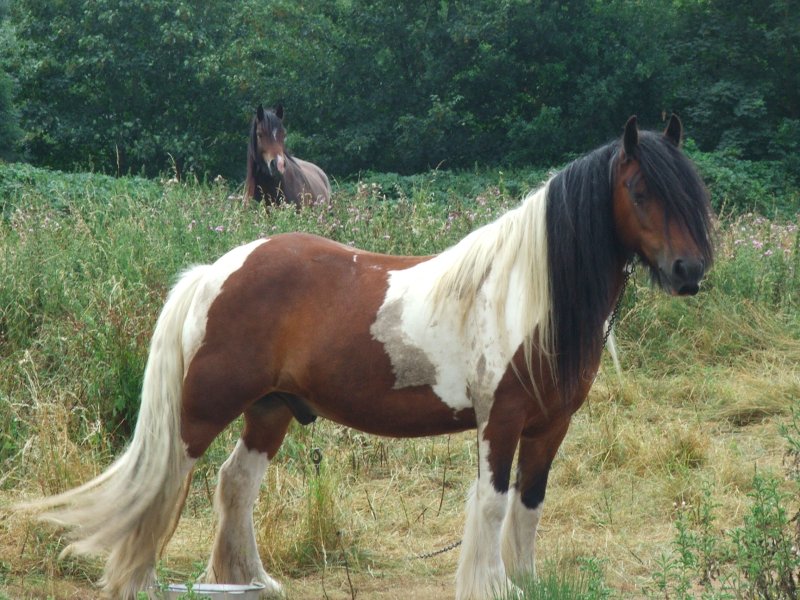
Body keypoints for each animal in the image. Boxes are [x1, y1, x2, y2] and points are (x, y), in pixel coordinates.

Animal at [21, 115, 716, 596]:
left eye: (691, 190)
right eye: (640, 190)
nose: (689, 272)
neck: (524, 293)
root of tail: (216, 270)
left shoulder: (551, 426)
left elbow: (529, 505)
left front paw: (524, 583)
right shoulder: (502, 420)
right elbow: (493, 503)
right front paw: (491, 586)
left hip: (271, 409)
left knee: (235, 484)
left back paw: (254, 581)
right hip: (204, 411)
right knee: (168, 485)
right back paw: (140, 581)